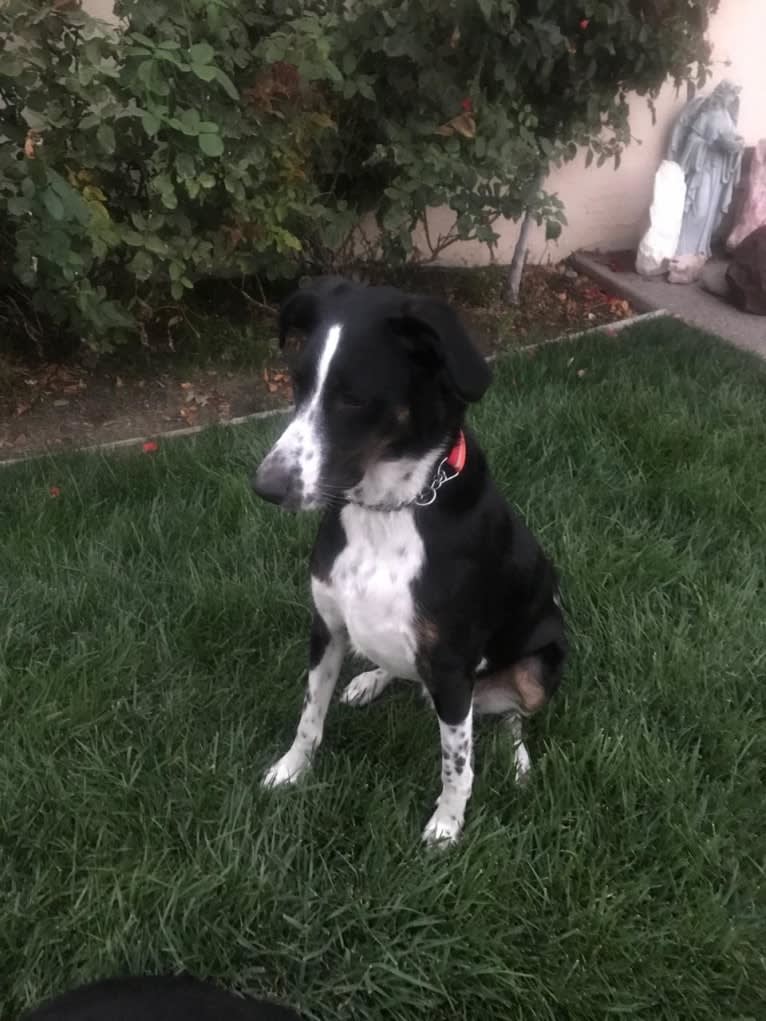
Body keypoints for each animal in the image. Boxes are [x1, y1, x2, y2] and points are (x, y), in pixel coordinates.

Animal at [255, 279, 567, 845]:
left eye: (353, 398)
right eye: (297, 385)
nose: (266, 486)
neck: (387, 510)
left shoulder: (451, 667)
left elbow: (457, 763)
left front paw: (447, 824)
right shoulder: (326, 626)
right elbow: (310, 714)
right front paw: (291, 769)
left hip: (540, 660)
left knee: (513, 716)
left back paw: (519, 763)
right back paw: (370, 679)